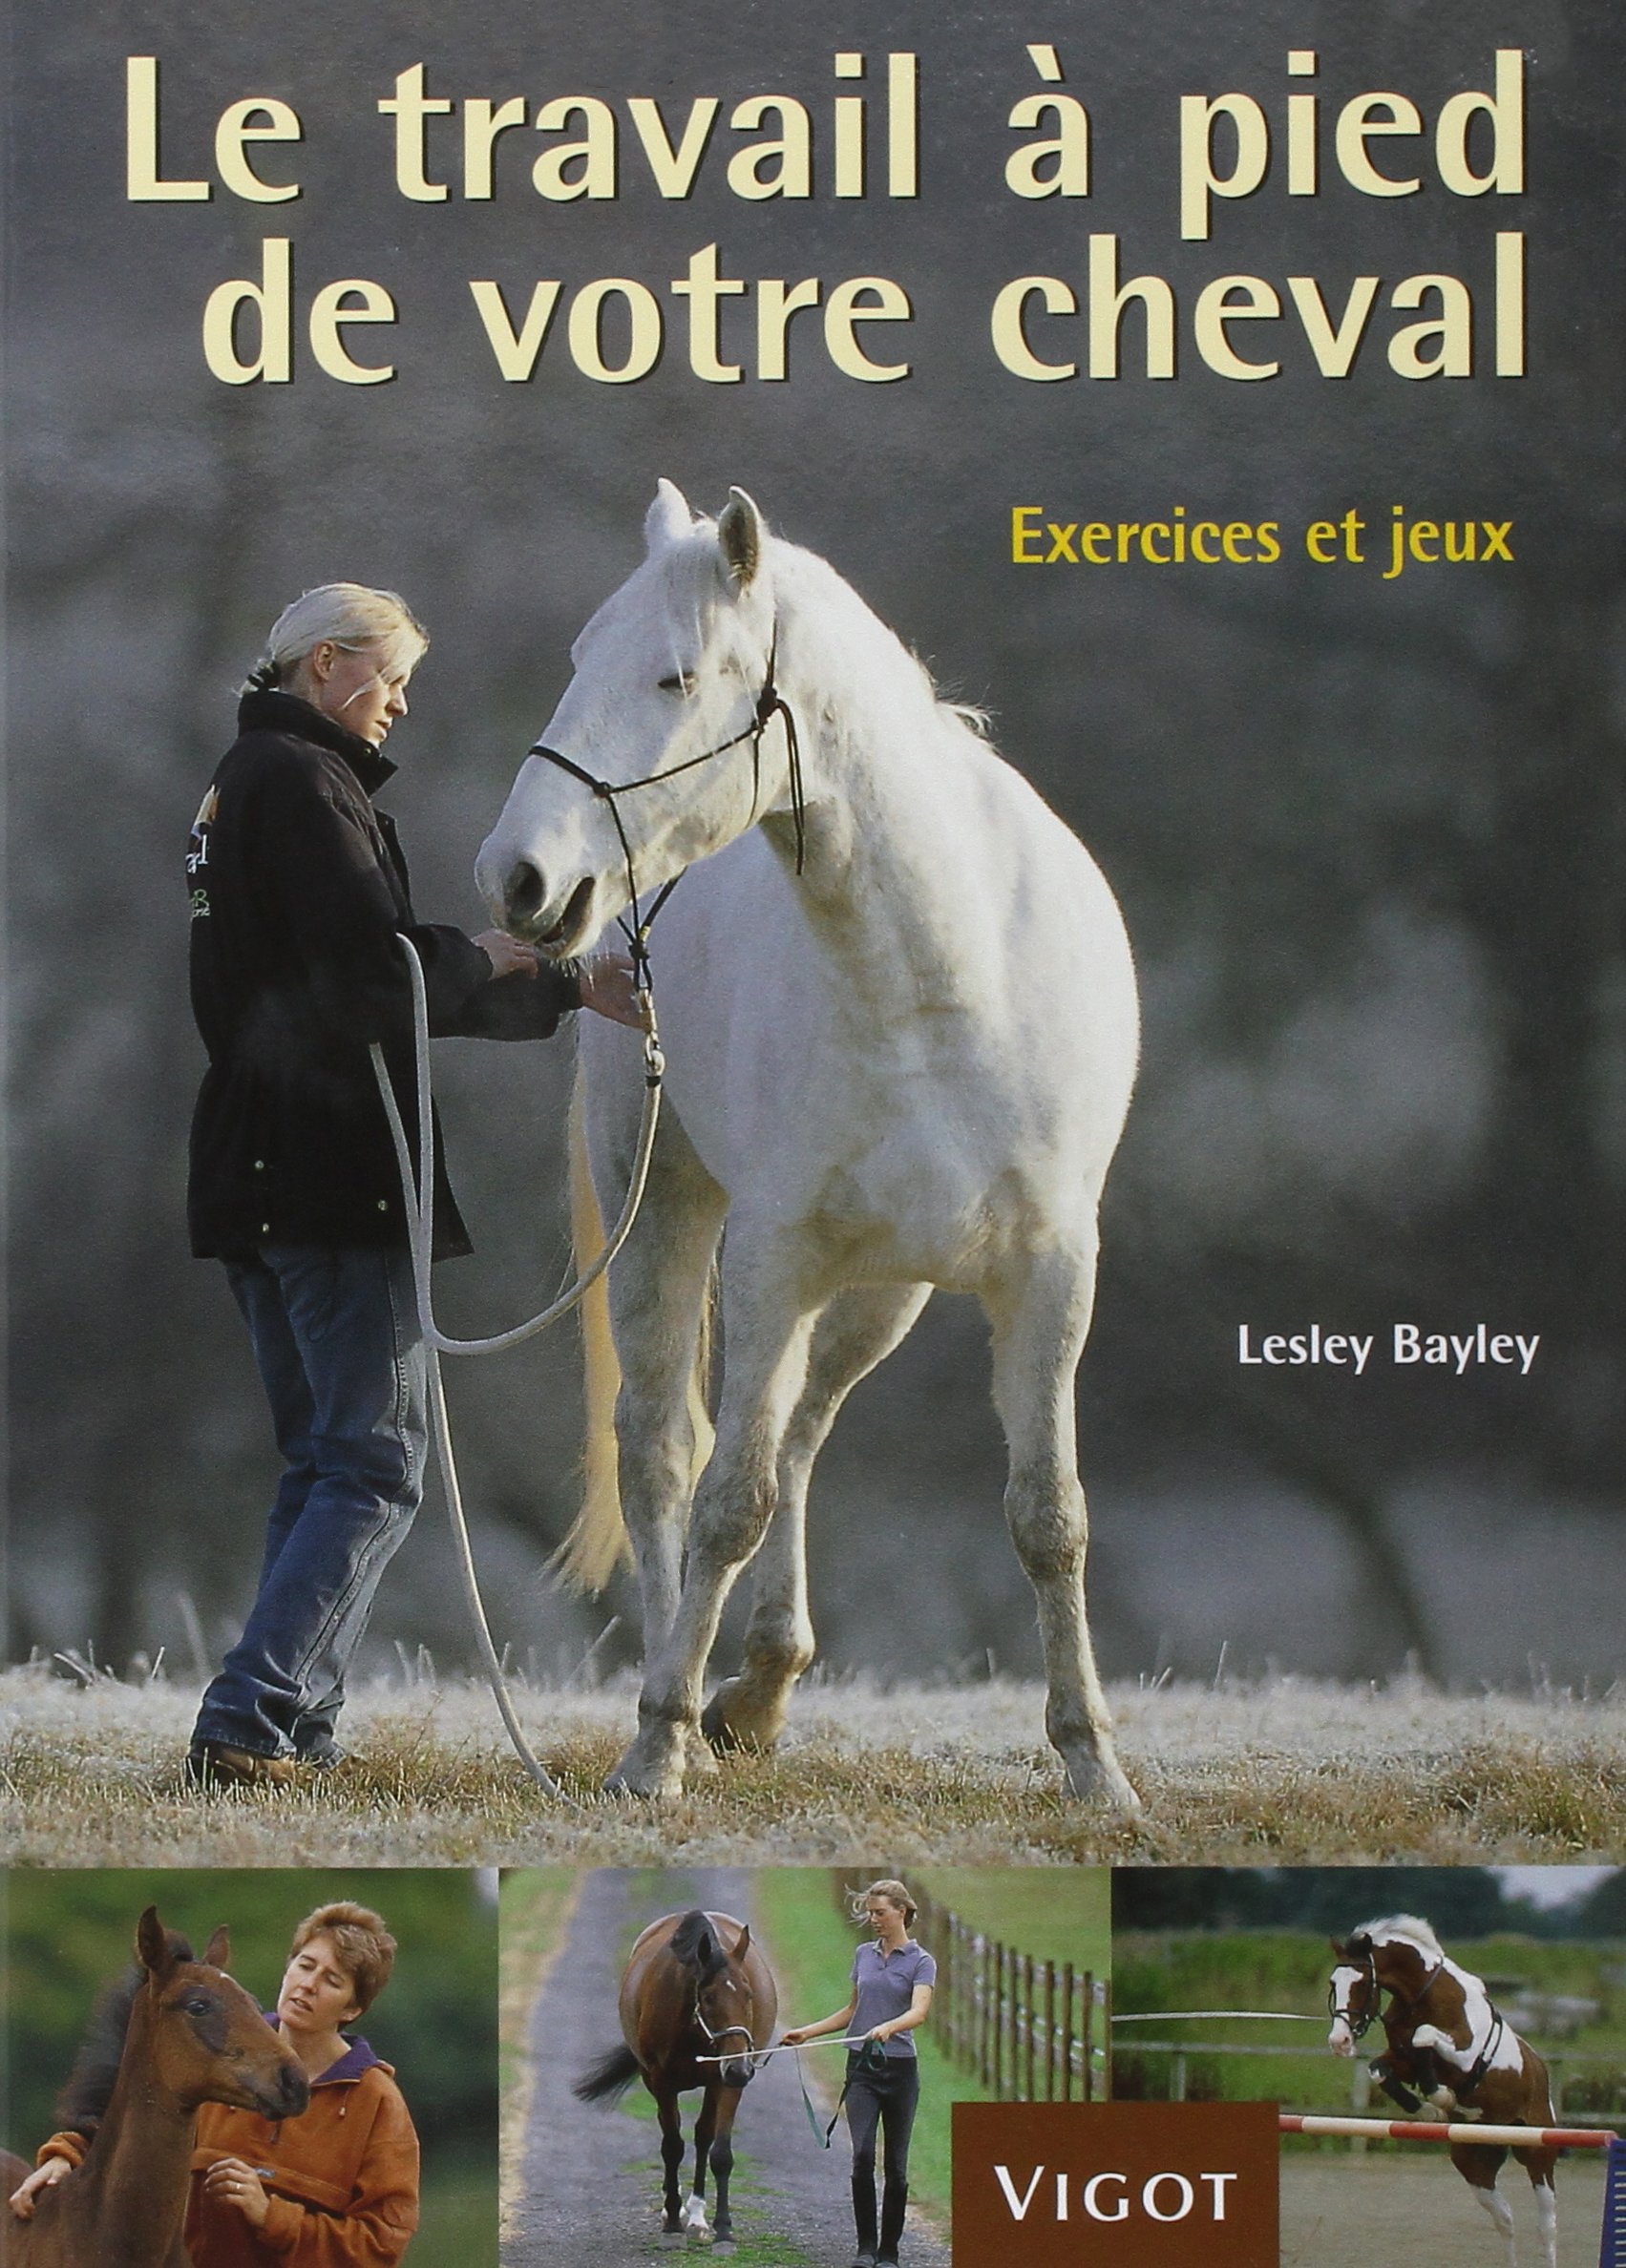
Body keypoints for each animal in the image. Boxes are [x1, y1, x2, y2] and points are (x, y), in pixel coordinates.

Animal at [476, 480, 1141, 1807]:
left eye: (675, 677)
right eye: (578, 659)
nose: (518, 877)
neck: (944, 973)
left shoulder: (1048, 1270)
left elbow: (1048, 1516)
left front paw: (1093, 1767)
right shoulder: (773, 1255)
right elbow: (724, 1499)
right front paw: (656, 1744)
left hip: (881, 1289)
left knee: (798, 1429)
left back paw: (763, 1684)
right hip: (667, 1212)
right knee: (669, 1449)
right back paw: (689, 1702)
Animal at [574, 1908, 777, 2243]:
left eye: (748, 1994)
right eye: (708, 1997)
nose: (739, 2069)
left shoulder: (724, 2084)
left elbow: (720, 2152)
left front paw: (723, 2226)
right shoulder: (661, 2082)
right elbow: (672, 2146)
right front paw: (671, 2218)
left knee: (703, 2135)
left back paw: (696, 2213)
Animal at [1327, 1914, 1560, 2268]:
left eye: (1362, 1983)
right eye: (1333, 1984)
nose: (1339, 2042)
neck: (1422, 1996)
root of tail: (1540, 2071)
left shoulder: (1465, 2056)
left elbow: (1424, 2036)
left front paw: (1443, 2098)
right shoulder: (1402, 2059)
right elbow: (1379, 2070)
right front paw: (1428, 2110)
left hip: (1537, 2154)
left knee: (1546, 2226)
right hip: (1474, 2164)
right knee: (1505, 2219)